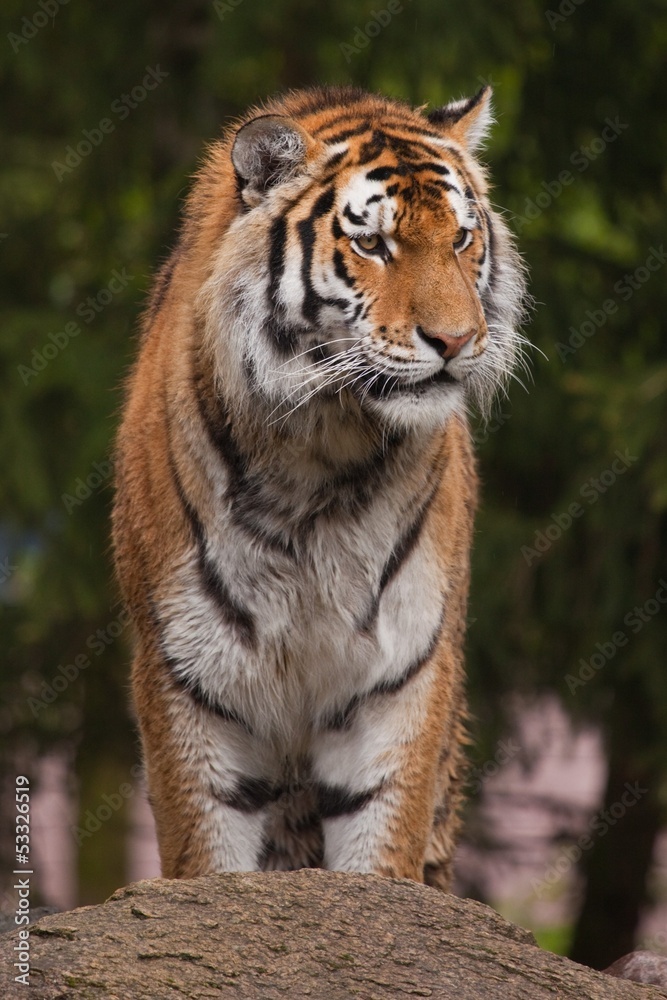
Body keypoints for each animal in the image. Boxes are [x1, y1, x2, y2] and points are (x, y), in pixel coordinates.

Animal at [112, 84, 527, 889]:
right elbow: (206, 856)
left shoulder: (403, 671)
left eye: (462, 239)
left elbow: (381, 850)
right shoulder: (186, 674)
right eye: (372, 245)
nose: (456, 341)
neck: (322, 453)